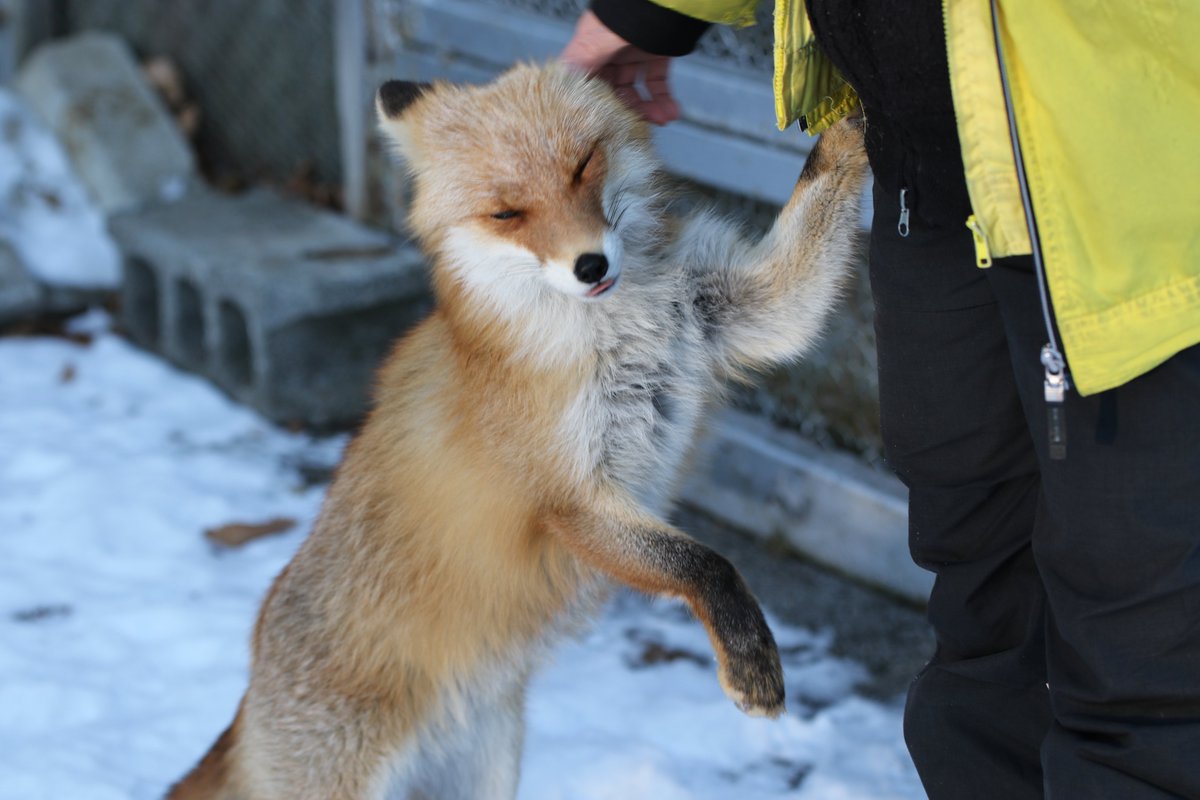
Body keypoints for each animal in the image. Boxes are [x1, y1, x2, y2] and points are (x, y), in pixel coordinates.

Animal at [166, 64, 864, 800]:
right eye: (507, 214)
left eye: (582, 168)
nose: (590, 265)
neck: (610, 331)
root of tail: (247, 694)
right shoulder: (564, 495)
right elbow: (706, 564)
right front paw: (751, 661)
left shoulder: (744, 310)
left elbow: (808, 237)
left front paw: (854, 117)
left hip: (490, 776)